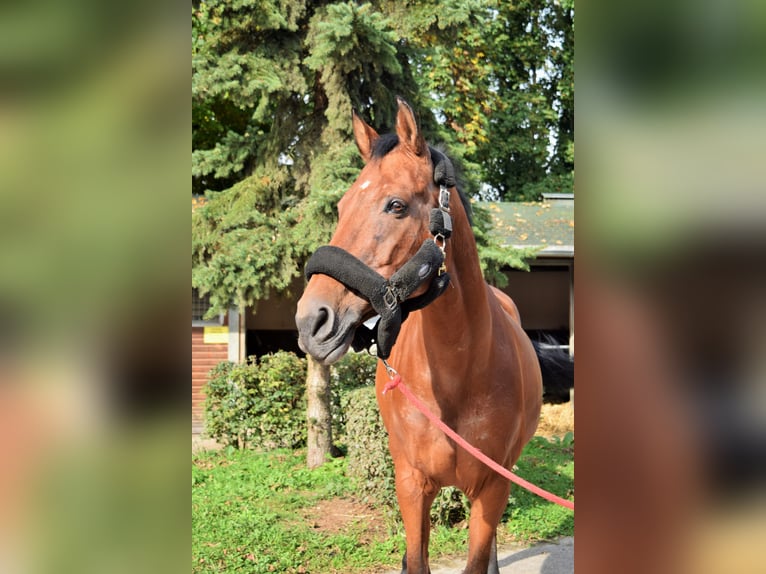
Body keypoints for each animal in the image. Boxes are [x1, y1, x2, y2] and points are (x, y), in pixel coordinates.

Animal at [296, 99, 572, 574]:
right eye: (342, 206)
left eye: (396, 205)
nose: (312, 320)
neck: (457, 373)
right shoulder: (411, 485)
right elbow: (416, 559)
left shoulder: (492, 488)